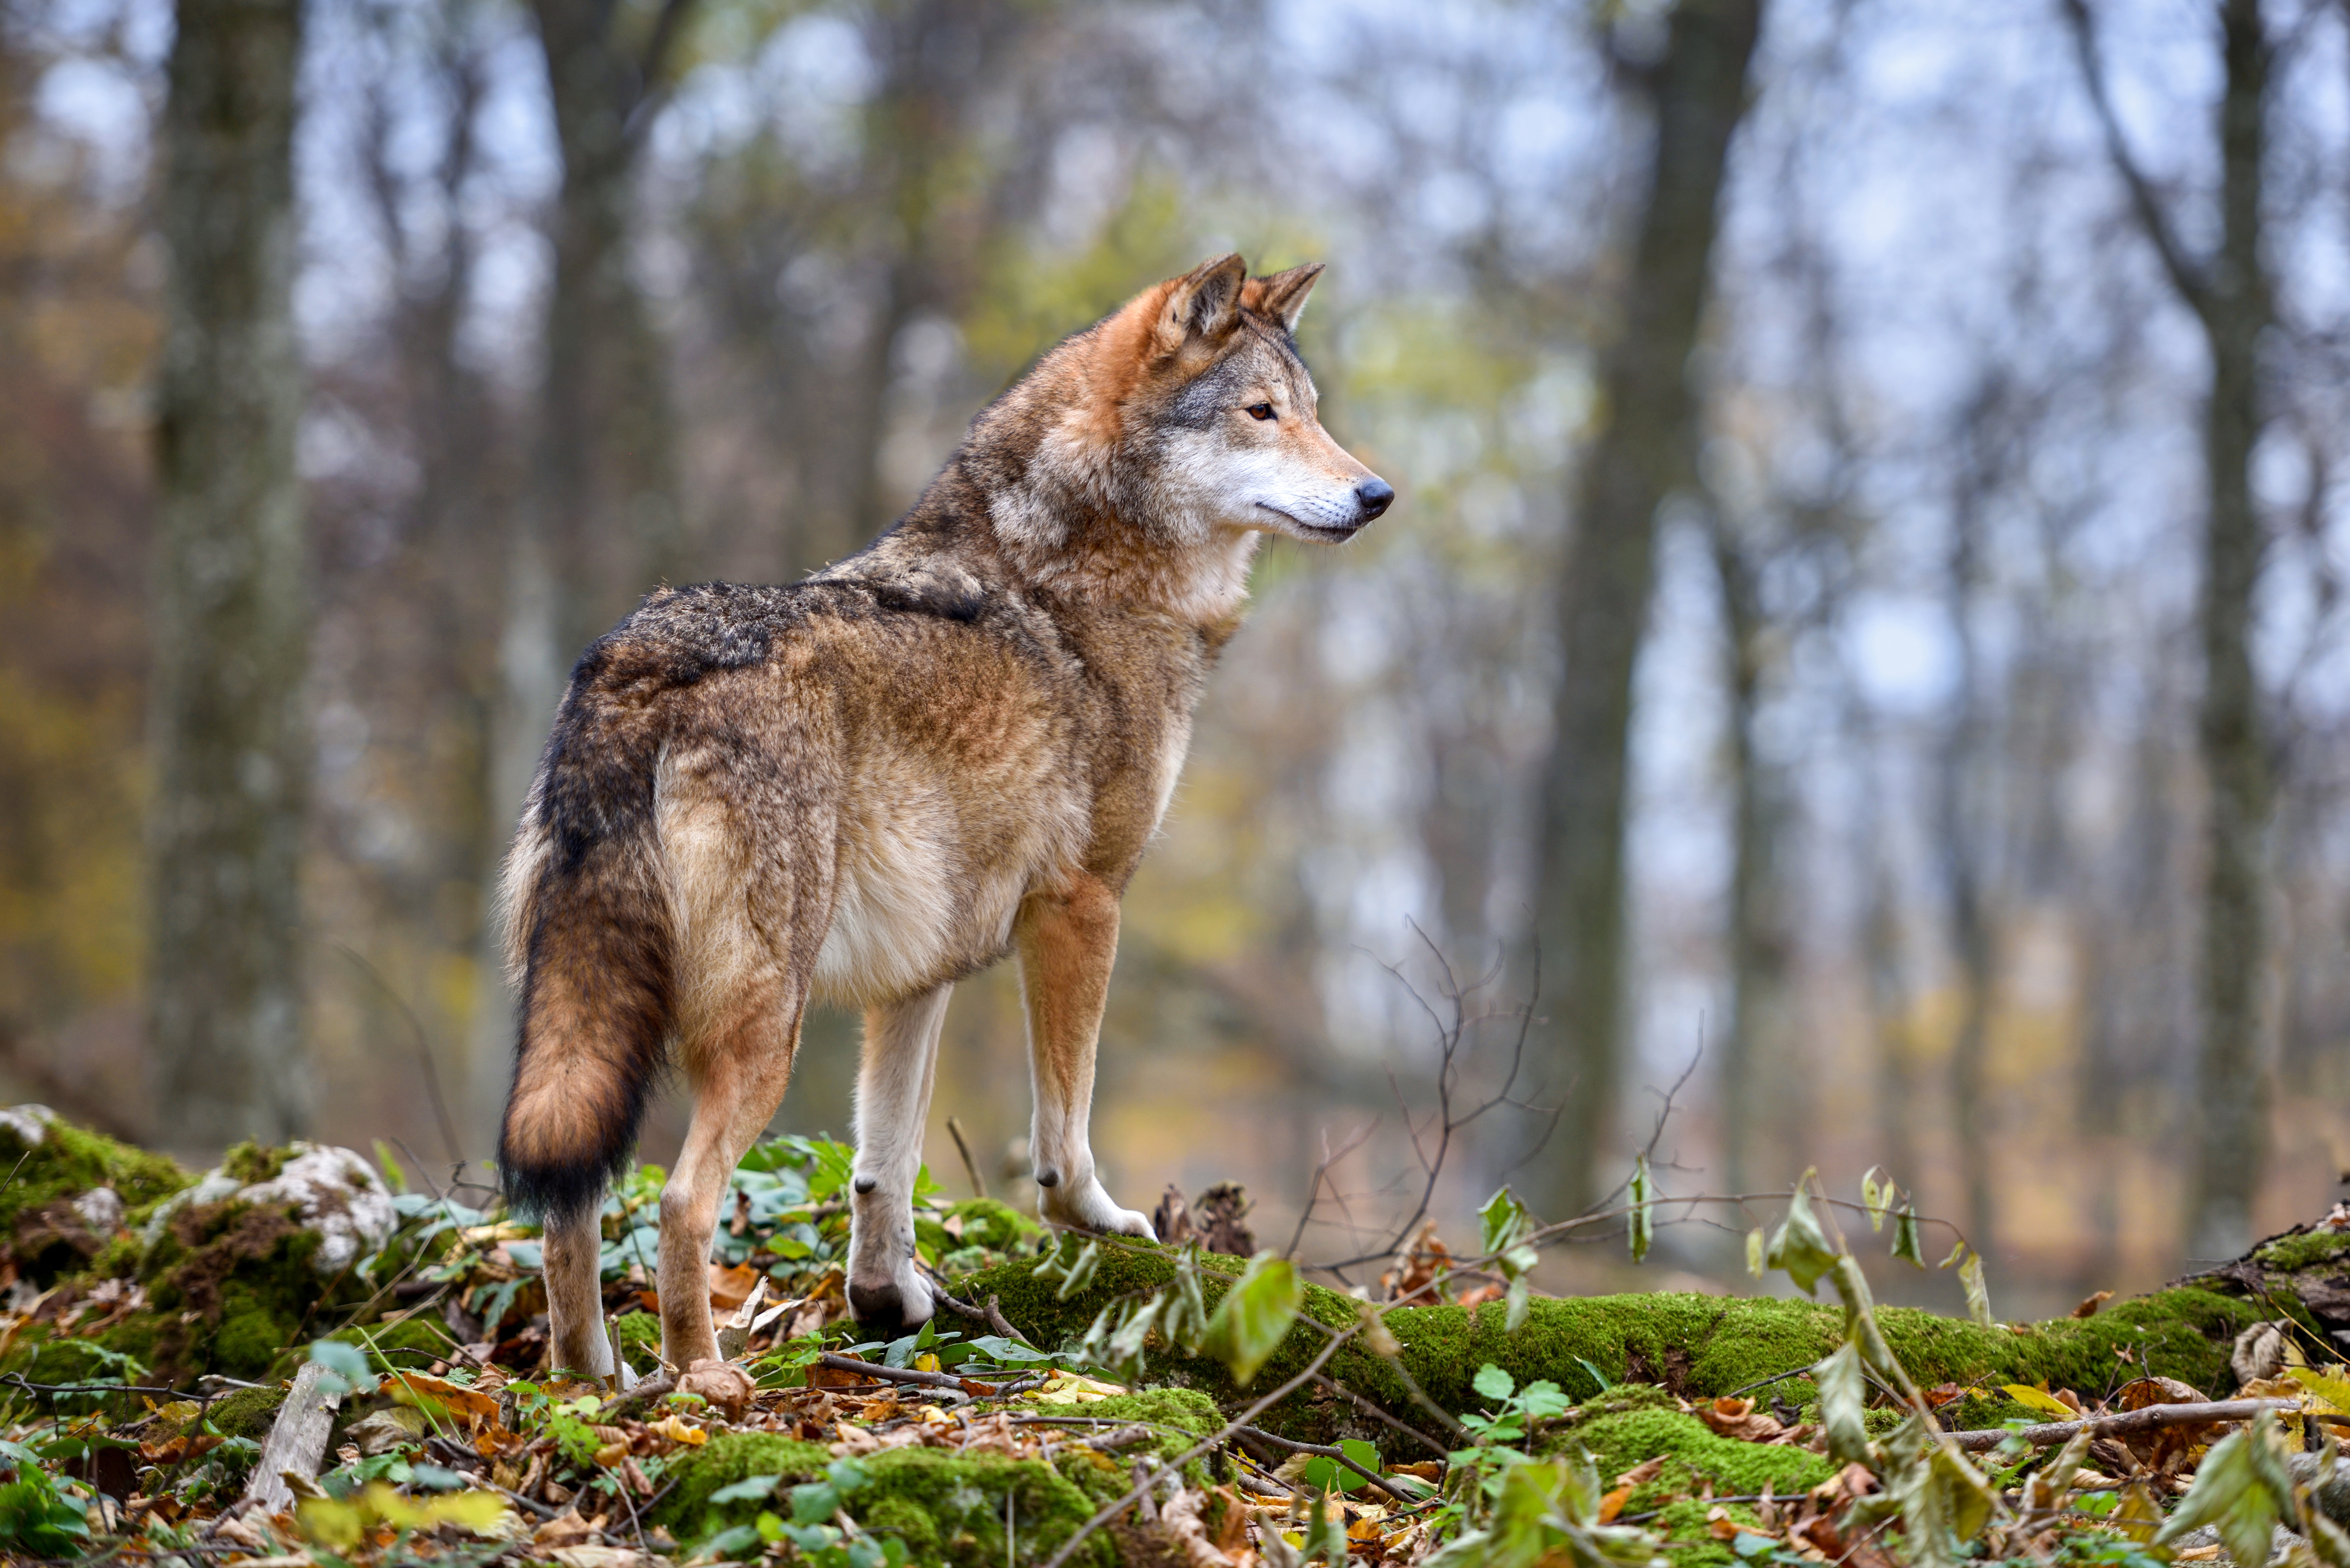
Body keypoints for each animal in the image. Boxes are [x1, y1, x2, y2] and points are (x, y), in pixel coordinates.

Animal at [488, 257, 1382, 1382]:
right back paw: (704, 1379)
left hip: (589, 1020)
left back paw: (591, 1381)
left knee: (569, 1211)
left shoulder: (918, 969)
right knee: (683, 1200)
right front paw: (1103, 1221)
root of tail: (637, 662)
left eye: (1313, 411)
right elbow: (1064, 1133)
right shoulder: (1083, 905)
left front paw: (885, 1298)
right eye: (1262, 413)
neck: (1081, 563)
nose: (1378, 493)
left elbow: (885, 1161)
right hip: (761, 1025)